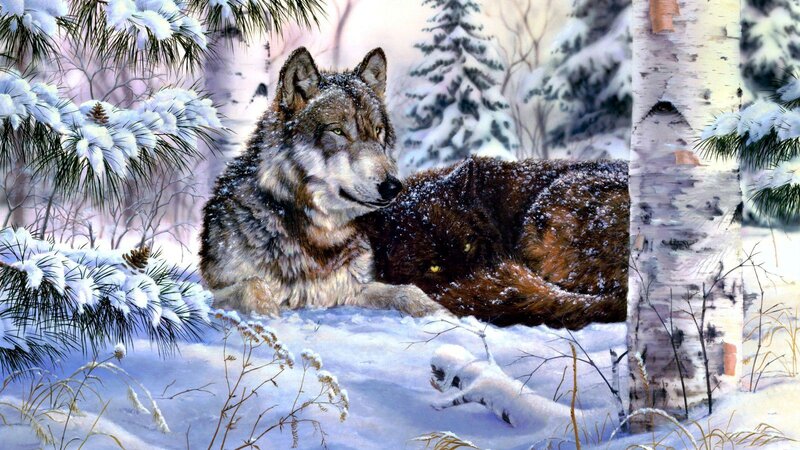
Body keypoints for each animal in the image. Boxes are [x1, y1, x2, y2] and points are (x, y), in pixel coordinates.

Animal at [199, 47, 443, 317]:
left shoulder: (349, 288)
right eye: (338, 132)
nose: (393, 187)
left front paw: (442, 314)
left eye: (378, 131)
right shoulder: (212, 289)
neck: (320, 236)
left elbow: (408, 291)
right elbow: (254, 286)